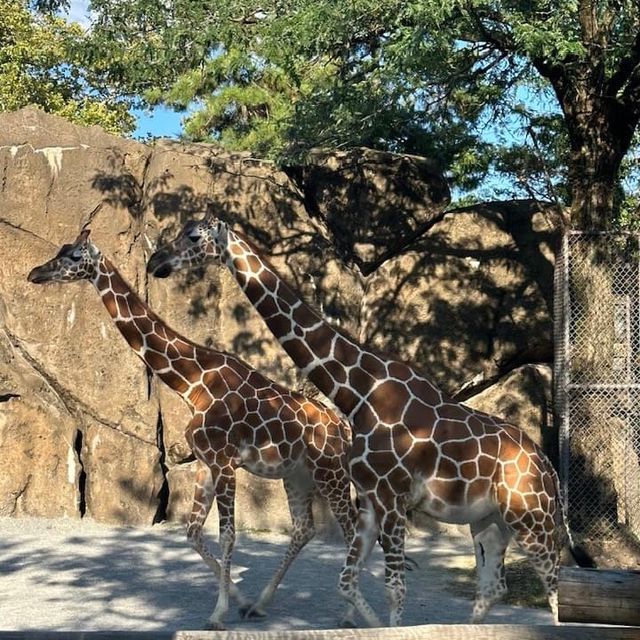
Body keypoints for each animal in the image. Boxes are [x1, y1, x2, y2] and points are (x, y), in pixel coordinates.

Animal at [27, 230, 358, 632]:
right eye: (60, 250)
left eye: (75, 256)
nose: (35, 273)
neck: (192, 383)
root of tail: (343, 428)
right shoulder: (205, 462)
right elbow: (193, 531)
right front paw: (238, 600)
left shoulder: (225, 462)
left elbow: (228, 536)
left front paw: (218, 615)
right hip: (297, 475)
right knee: (304, 529)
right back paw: (261, 604)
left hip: (331, 473)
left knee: (352, 528)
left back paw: (351, 612)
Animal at [146, 215, 596, 624]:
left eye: (193, 235)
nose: (155, 261)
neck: (358, 391)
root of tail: (549, 470)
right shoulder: (371, 499)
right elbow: (348, 580)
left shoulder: (393, 498)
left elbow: (395, 589)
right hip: (489, 522)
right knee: (493, 588)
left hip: (531, 518)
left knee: (556, 590)